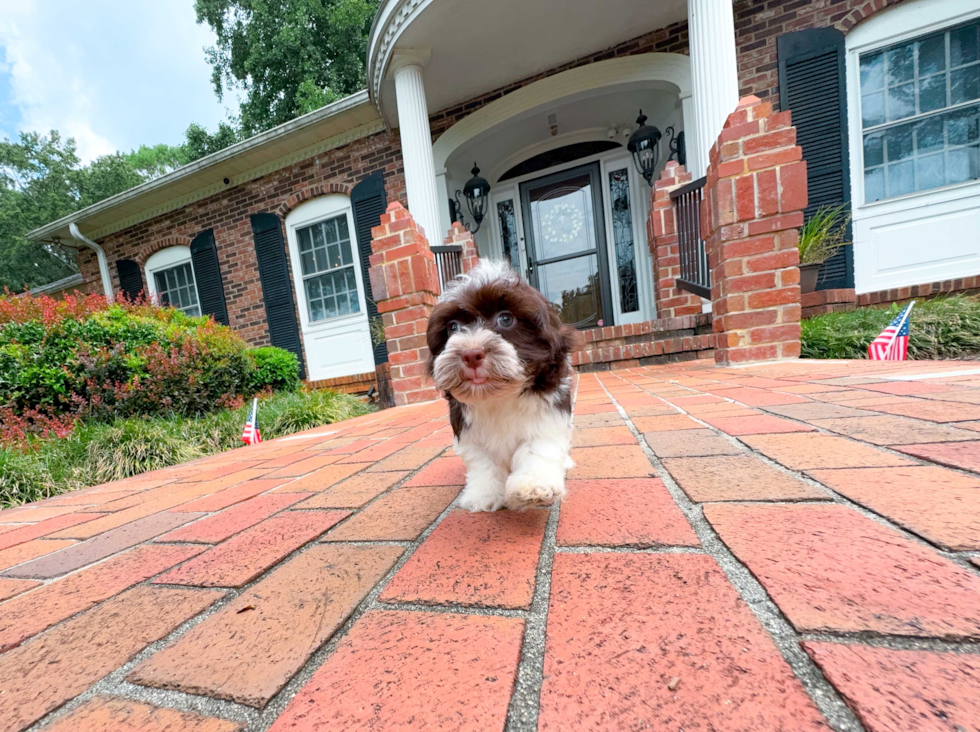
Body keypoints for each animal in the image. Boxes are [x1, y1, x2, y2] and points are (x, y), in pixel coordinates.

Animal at [426, 260, 580, 512]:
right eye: (453, 327)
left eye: (506, 319)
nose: (471, 354)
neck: (497, 397)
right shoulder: (469, 435)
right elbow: (483, 463)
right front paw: (484, 494)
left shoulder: (547, 418)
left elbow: (537, 449)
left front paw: (533, 486)